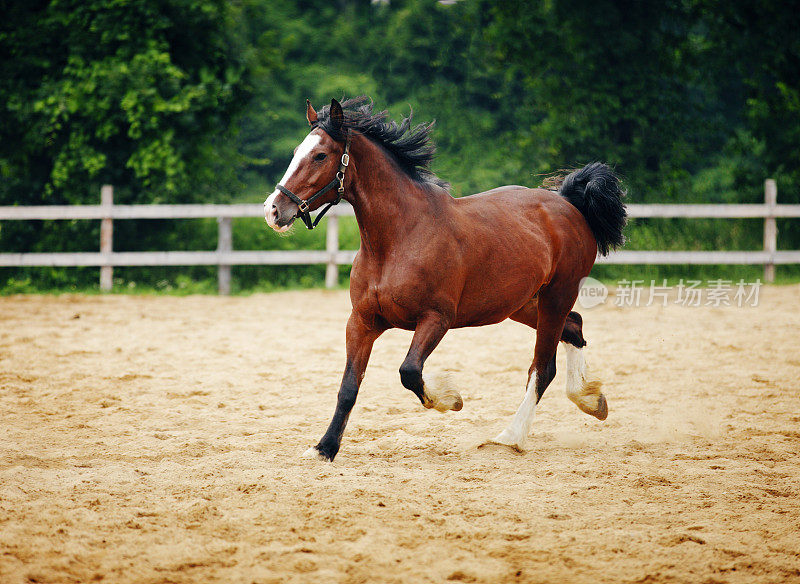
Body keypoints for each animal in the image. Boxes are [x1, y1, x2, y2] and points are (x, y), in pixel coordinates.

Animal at [262, 97, 624, 460]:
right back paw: (591, 400)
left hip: (556, 296)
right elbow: (349, 387)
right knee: (574, 326)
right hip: (521, 304)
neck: (398, 240)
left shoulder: (436, 318)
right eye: (296, 151)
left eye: (320, 155)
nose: (273, 210)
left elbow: (409, 371)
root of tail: (566, 204)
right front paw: (324, 448)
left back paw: (509, 437)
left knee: (543, 367)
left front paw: (451, 400)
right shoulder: (362, 322)